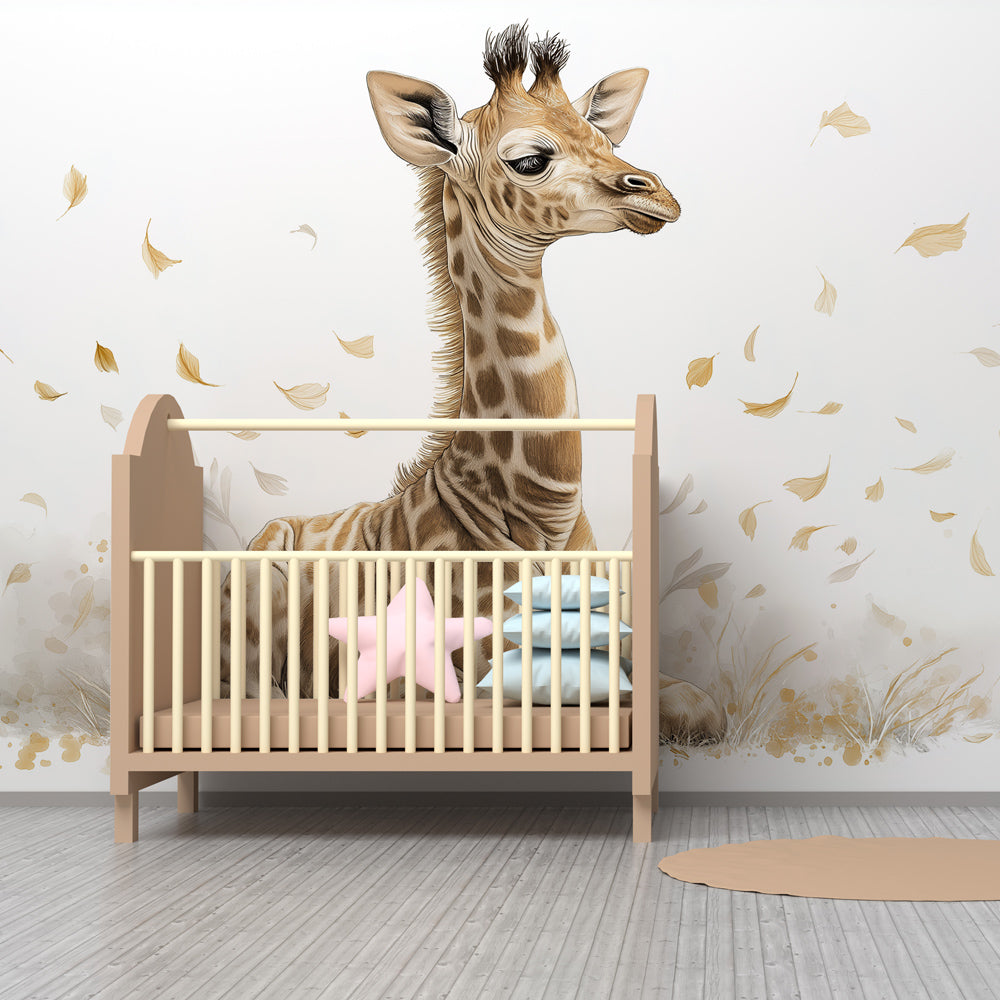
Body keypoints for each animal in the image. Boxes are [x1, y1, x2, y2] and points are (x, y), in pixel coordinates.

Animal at [219, 25, 727, 744]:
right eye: (530, 159)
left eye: (602, 137)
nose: (656, 194)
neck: (540, 514)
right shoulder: (458, 676)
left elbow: (696, 705)